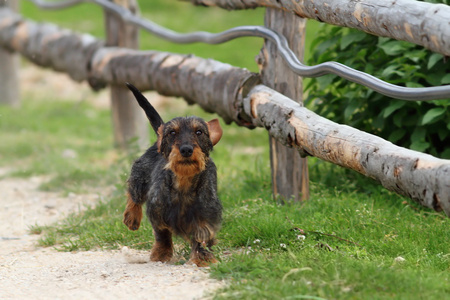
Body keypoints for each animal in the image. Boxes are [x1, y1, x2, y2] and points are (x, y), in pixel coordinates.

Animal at [122, 82, 222, 268]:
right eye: (172, 133)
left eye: (199, 132)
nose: (186, 149)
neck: (184, 183)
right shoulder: (156, 211)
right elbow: (163, 234)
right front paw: (161, 253)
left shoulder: (206, 216)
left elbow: (202, 236)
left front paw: (202, 257)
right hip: (140, 175)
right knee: (134, 194)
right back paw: (132, 217)